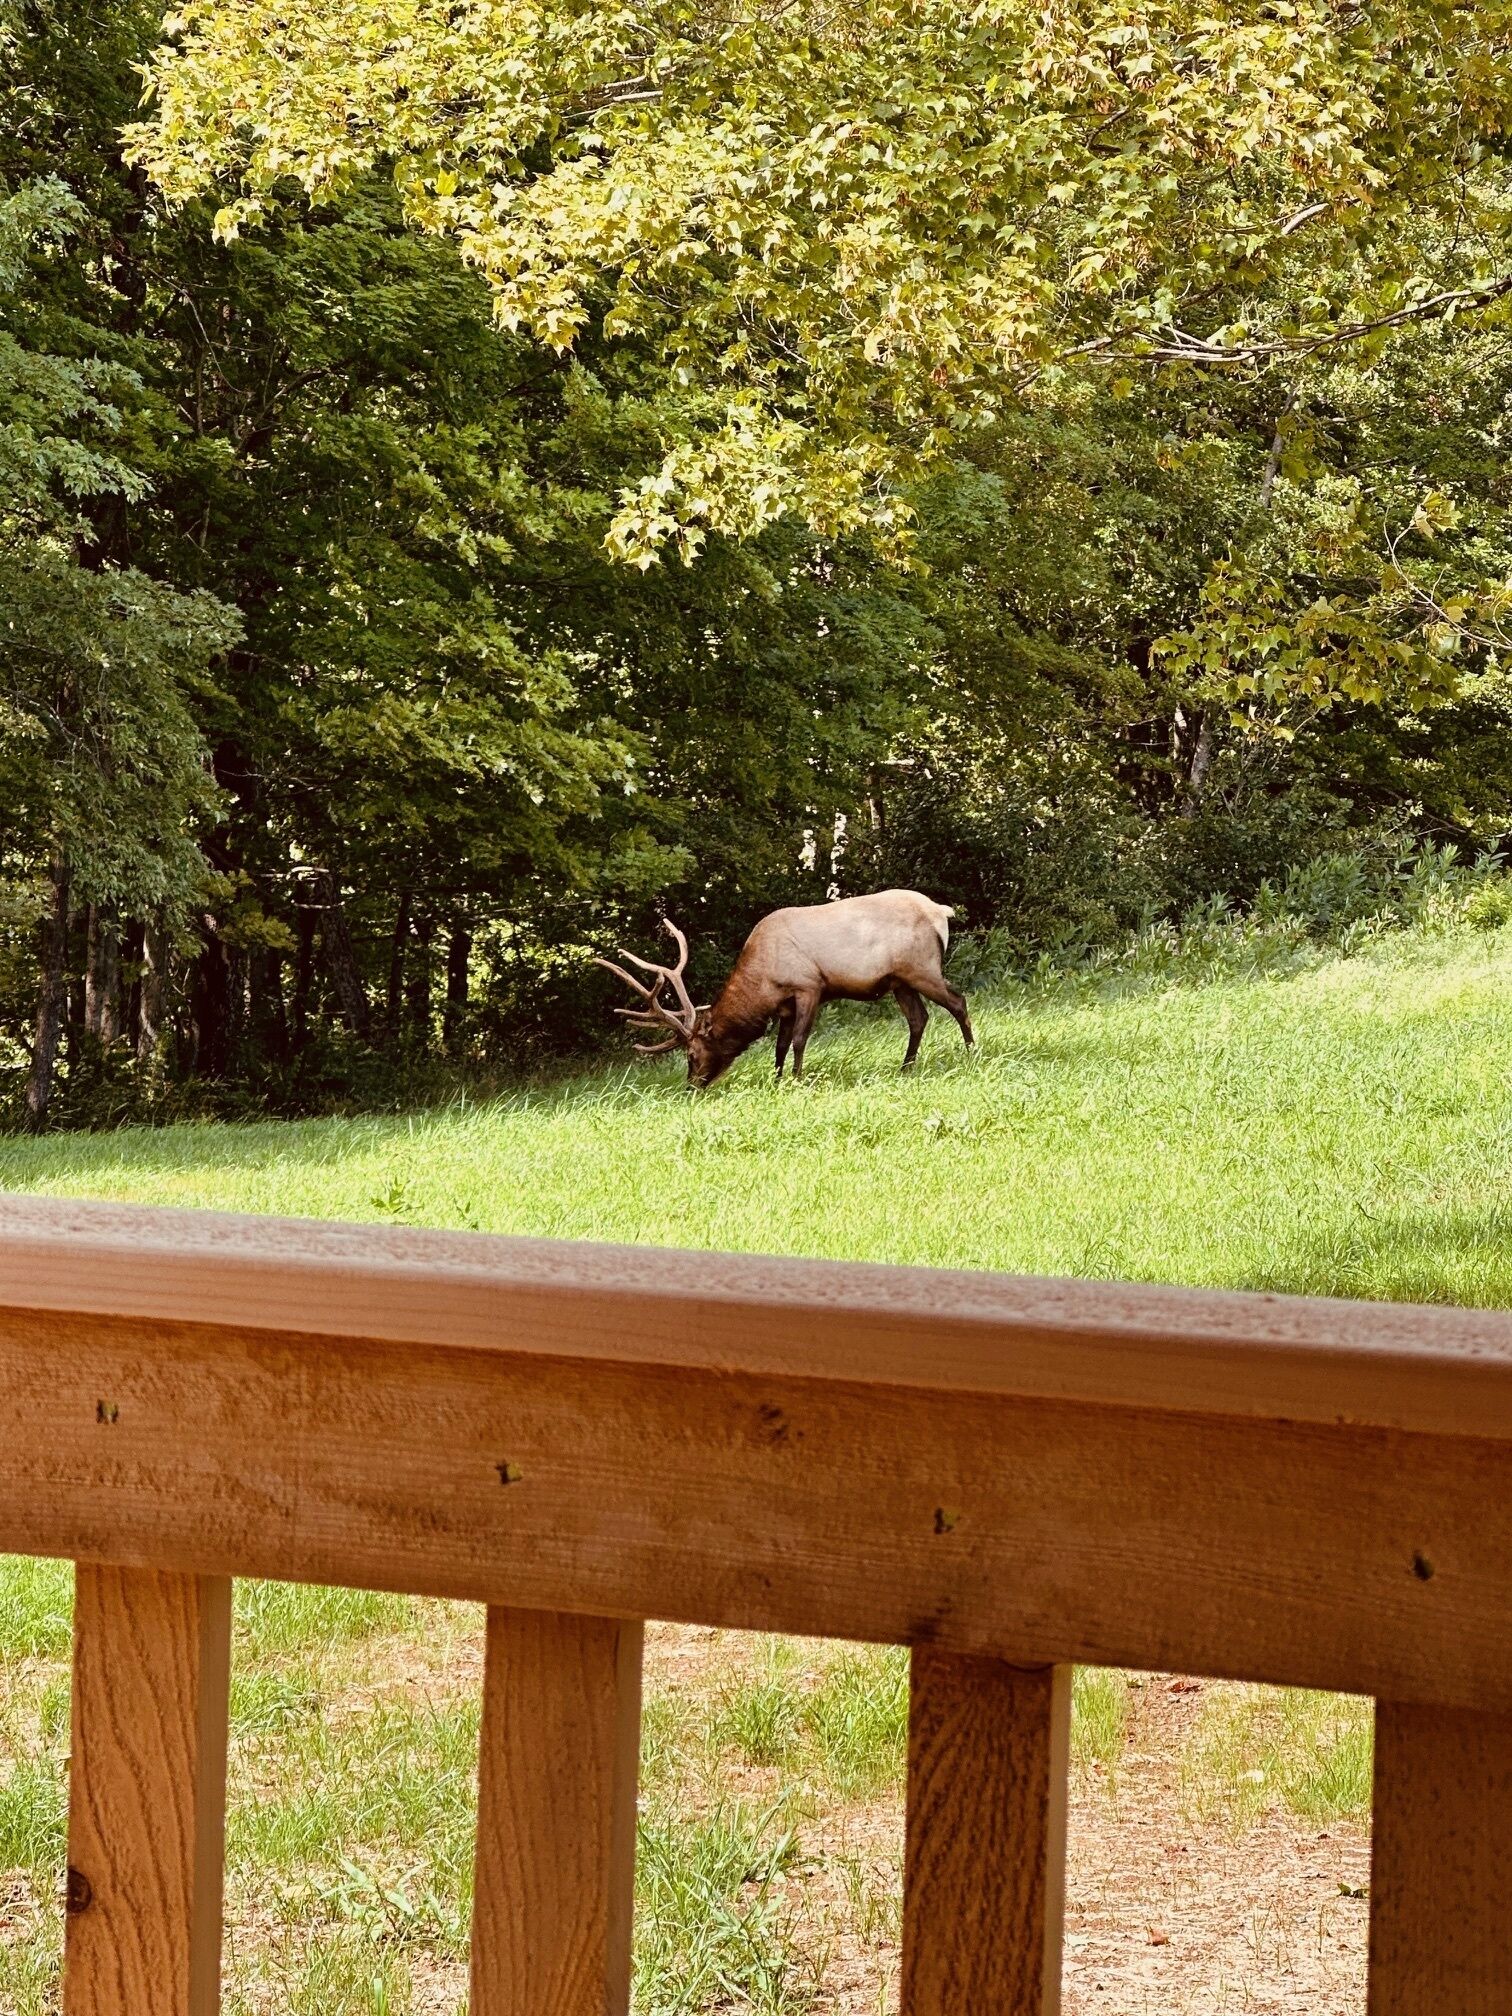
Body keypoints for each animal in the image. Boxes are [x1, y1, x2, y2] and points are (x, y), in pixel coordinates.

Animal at [595, 890, 973, 1088]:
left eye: (691, 1054)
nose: (692, 1085)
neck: (764, 983)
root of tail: (941, 911)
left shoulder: (809, 986)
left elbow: (799, 1040)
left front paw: (796, 1079)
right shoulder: (785, 1005)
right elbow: (778, 1046)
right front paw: (776, 1080)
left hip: (922, 967)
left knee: (958, 1000)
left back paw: (971, 1052)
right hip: (900, 981)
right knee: (918, 1018)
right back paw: (905, 1068)